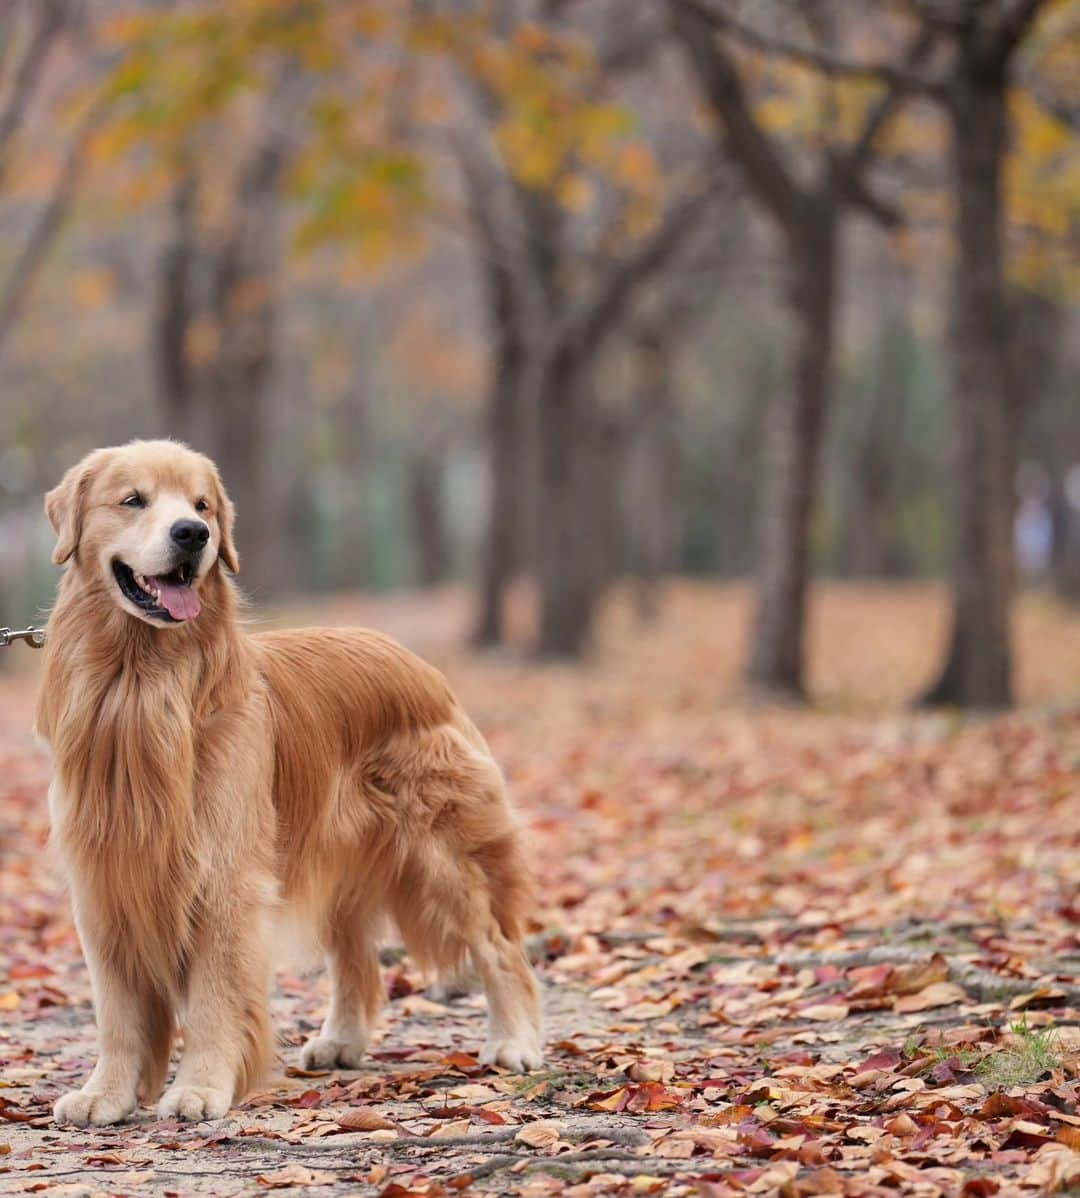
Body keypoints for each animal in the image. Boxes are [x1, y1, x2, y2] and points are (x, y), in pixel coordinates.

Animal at [38, 438, 545, 1121]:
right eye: (133, 500)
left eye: (202, 505)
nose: (193, 534)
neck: (143, 682)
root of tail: (414, 661)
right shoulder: (105, 879)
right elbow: (116, 1010)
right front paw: (105, 1094)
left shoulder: (224, 875)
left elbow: (212, 997)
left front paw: (200, 1086)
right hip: (339, 859)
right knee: (357, 960)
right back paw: (342, 1041)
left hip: (442, 856)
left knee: (498, 945)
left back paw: (514, 1041)